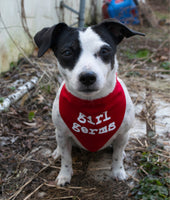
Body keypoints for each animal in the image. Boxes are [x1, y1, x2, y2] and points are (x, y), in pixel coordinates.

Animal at [34, 18, 145, 186]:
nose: (87, 77)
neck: (91, 105)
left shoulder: (123, 134)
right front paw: (64, 174)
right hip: (58, 132)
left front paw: (118, 171)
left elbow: (117, 156)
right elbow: (66, 158)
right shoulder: (63, 134)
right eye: (67, 52)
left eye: (104, 51)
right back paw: (57, 152)